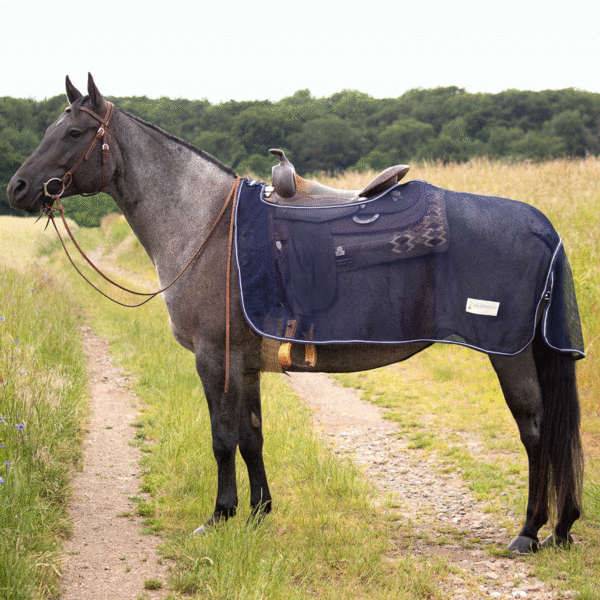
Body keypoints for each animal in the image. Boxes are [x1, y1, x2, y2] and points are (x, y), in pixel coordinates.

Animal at [5, 74, 584, 552]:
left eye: (73, 132)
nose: (17, 187)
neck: (207, 226)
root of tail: (540, 226)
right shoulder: (245, 362)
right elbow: (252, 436)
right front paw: (258, 514)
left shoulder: (215, 357)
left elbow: (222, 438)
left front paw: (220, 516)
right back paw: (560, 528)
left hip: (509, 353)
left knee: (536, 433)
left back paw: (529, 532)